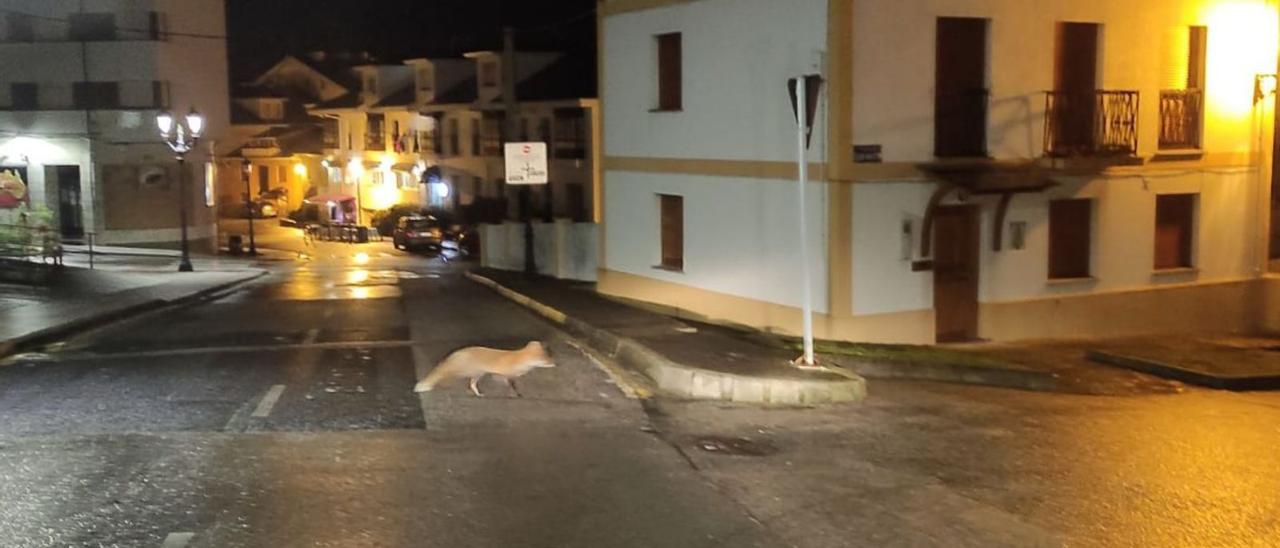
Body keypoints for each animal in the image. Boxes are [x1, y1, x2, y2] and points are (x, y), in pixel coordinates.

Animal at [414, 340, 555, 396]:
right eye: (547, 360)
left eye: (549, 357)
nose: (555, 363)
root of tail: (458, 352)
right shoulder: (505, 374)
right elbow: (512, 385)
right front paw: (516, 394)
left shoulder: (503, 374)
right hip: (470, 372)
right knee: (444, 375)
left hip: (478, 374)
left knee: (471, 385)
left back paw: (477, 393)